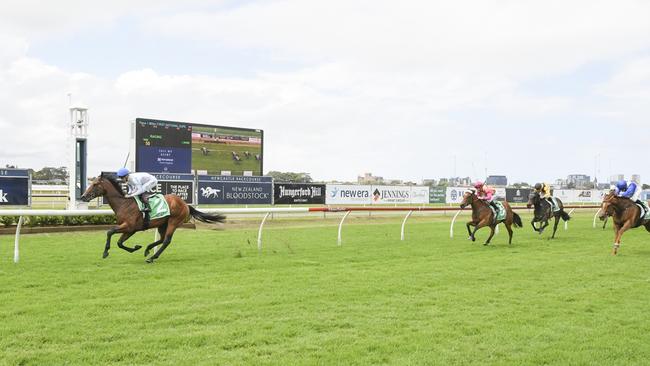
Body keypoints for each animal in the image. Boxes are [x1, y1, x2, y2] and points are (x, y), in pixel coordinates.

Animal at [80, 170, 225, 262]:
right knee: (161, 239)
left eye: (95, 184)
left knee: (166, 240)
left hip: (173, 222)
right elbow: (120, 242)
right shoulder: (131, 229)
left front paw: (105, 252)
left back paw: (152, 258)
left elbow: (110, 232)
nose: (83, 196)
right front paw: (136, 248)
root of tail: (185, 204)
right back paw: (148, 249)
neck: (124, 204)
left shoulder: (129, 226)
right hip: (162, 223)